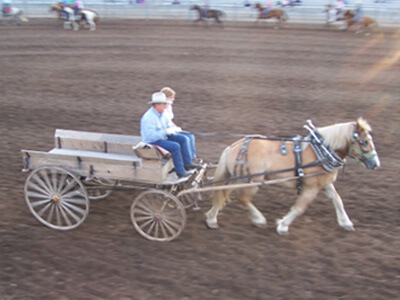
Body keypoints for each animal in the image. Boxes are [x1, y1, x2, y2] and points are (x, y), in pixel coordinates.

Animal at [206, 118, 382, 236]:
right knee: (241, 198)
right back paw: (258, 219)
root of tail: (234, 146)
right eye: (364, 142)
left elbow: (338, 200)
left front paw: (346, 223)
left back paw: (211, 218)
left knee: (223, 192)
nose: (376, 164)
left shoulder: (325, 184)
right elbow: (299, 208)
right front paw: (283, 226)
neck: (321, 152)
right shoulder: (311, 187)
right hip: (253, 181)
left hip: (241, 178)